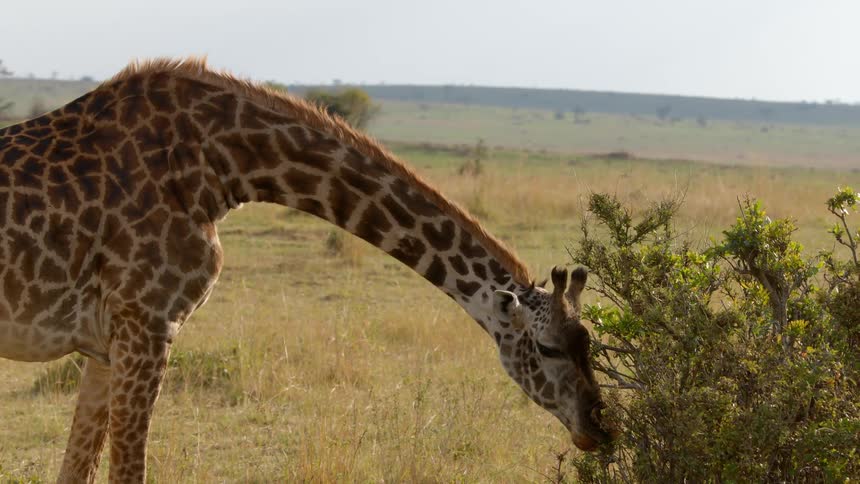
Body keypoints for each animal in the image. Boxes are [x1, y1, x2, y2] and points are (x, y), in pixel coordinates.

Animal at [0, 58, 614, 483]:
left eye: (589, 342)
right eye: (550, 348)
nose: (599, 427)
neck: (223, 168)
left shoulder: (106, 343)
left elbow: (75, 469)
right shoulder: (148, 323)